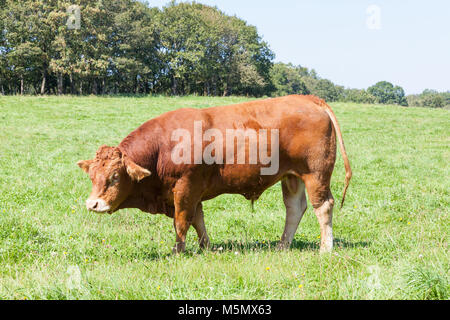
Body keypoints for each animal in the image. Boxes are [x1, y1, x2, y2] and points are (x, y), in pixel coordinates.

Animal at [78, 94, 352, 252]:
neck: (163, 146)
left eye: (115, 177)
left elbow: (182, 221)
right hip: (292, 176)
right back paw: (283, 246)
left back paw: (325, 248)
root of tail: (309, 99)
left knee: (323, 207)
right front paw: (206, 247)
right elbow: (198, 220)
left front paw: (178, 251)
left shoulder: (185, 188)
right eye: (91, 177)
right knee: (295, 208)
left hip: (315, 173)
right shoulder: (192, 191)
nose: (93, 204)